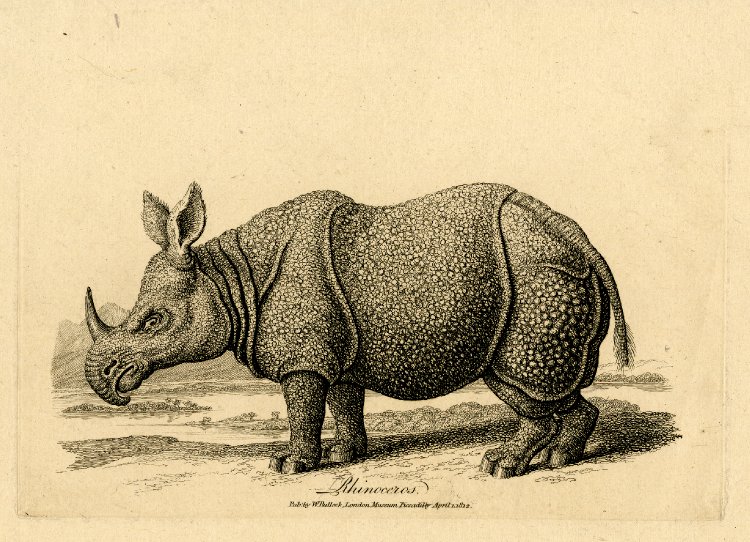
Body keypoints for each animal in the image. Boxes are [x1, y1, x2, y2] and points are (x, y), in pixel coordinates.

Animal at [84, 183, 633, 477]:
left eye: (153, 323)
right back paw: (560, 459)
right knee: (544, 389)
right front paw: (344, 454)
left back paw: (499, 468)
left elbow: (302, 408)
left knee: (516, 380)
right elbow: (345, 403)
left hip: (537, 278)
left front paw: (291, 465)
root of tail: (581, 241)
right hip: (549, 273)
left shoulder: (303, 359)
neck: (229, 279)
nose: (110, 382)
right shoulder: (338, 353)